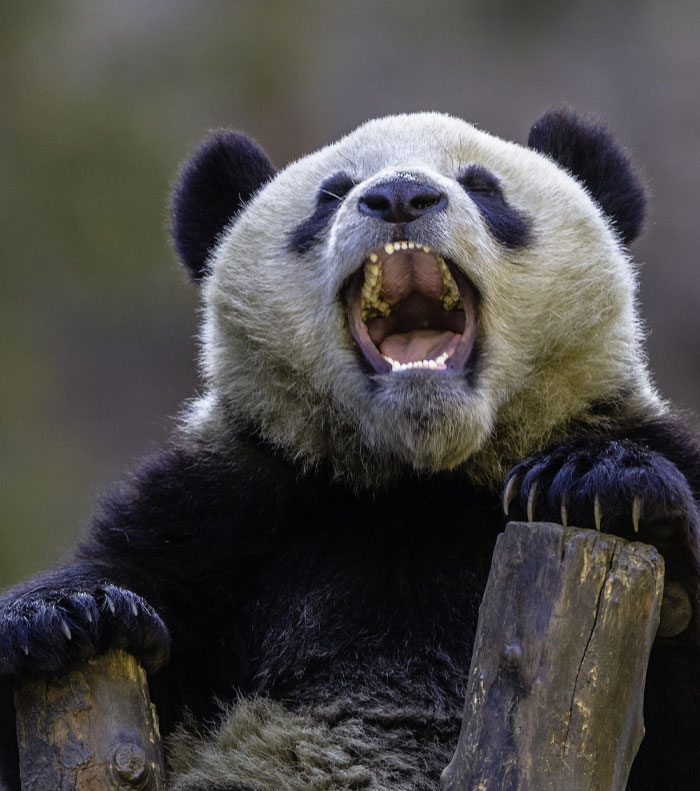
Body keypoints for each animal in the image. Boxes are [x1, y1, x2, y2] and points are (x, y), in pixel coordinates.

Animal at [1, 109, 699, 791]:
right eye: (330, 194)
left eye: (483, 186)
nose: (399, 197)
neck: (420, 478)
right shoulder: (233, 503)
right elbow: (133, 566)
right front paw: (67, 614)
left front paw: (596, 483)